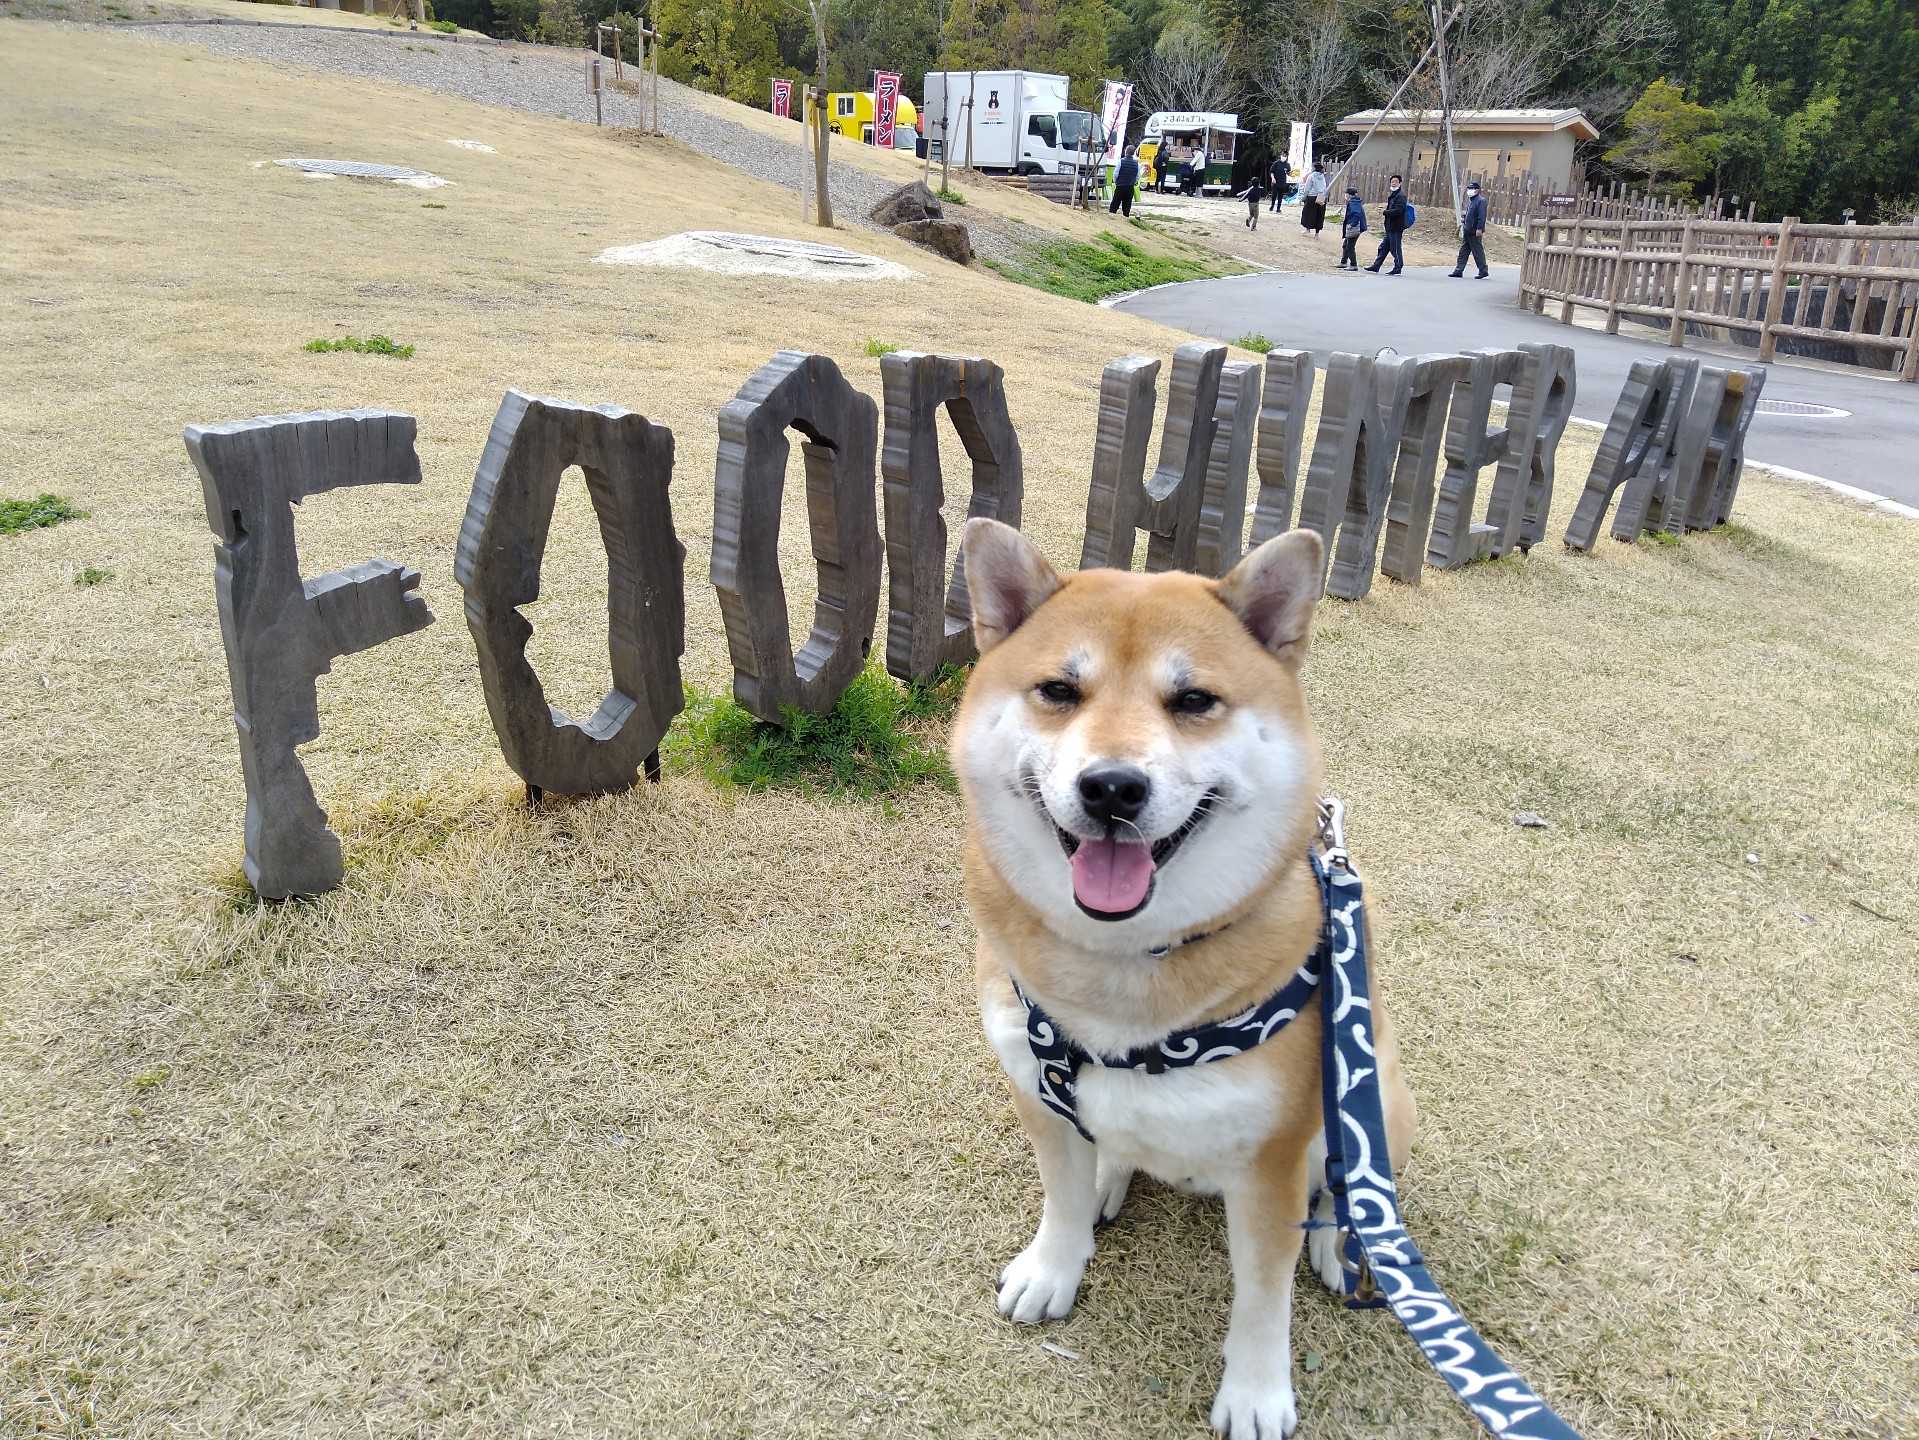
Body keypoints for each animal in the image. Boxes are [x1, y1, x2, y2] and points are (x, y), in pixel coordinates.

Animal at [951, 526, 1420, 1436]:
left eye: (1194, 701)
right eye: (1058, 690)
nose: (1111, 787)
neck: (1124, 963)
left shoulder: (1271, 1161)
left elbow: (1263, 1296)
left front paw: (1256, 1393)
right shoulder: (1036, 1090)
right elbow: (1059, 1199)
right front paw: (1053, 1268)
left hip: (1373, 1088)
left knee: (1344, 1182)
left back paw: (1336, 1241)